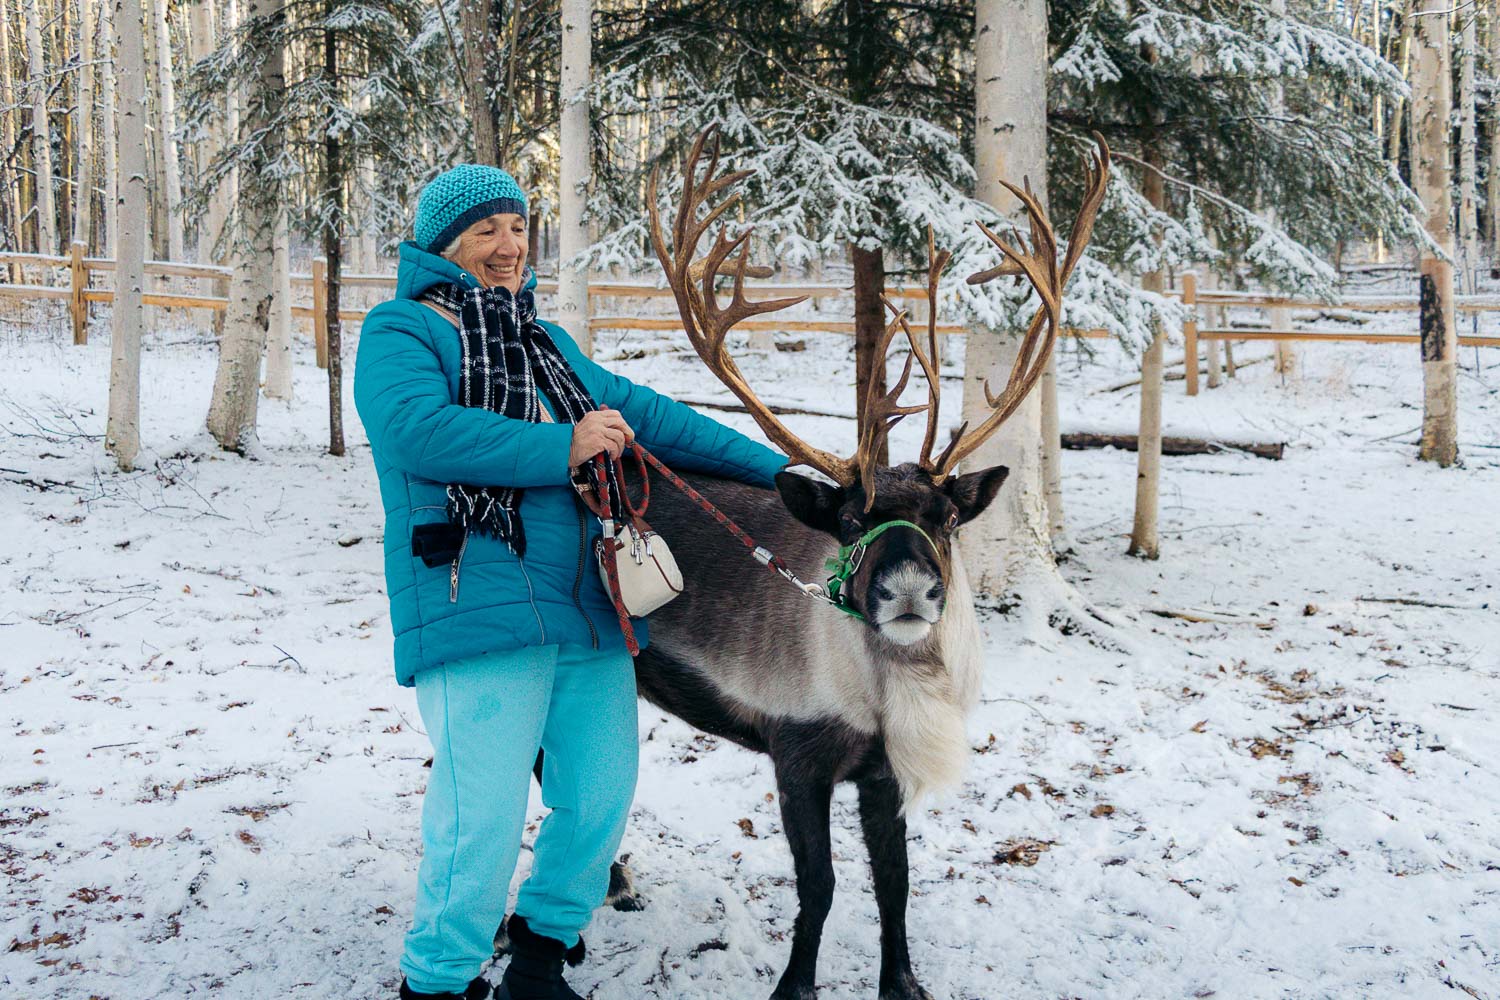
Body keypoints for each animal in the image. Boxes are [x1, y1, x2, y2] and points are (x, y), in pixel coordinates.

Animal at [525, 128, 1110, 1000]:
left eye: (946, 520)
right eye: (850, 520)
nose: (909, 590)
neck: (881, 693)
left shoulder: (881, 771)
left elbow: (895, 882)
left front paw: (903, 982)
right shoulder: (796, 753)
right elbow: (822, 885)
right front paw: (793, 984)